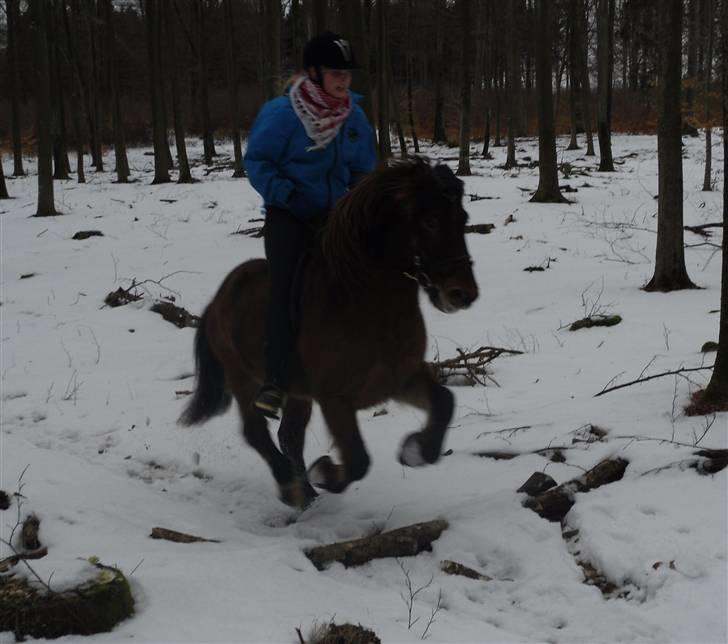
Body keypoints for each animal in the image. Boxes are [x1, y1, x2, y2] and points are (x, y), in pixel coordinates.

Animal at [180, 157, 480, 508]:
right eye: (431, 221)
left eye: (462, 218)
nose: (463, 294)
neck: (369, 307)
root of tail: (218, 301)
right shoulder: (336, 400)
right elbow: (357, 460)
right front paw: (324, 471)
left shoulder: (400, 379)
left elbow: (445, 402)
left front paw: (415, 450)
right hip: (242, 379)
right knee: (256, 432)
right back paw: (290, 486)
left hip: (297, 394)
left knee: (289, 436)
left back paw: (305, 491)